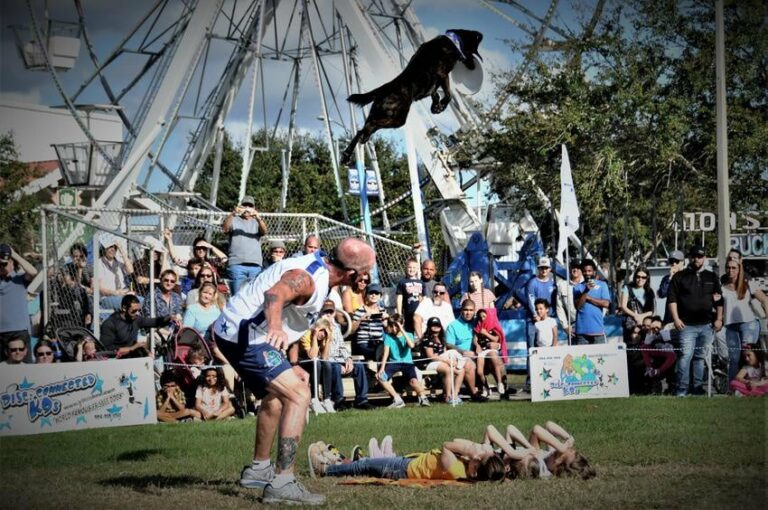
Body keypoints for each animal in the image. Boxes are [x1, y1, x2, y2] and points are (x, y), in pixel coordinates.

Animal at [340, 28, 484, 164]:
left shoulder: (434, 85)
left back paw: (347, 154)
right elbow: (448, 95)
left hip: (378, 114)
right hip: (397, 118)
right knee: (366, 128)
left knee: (363, 130)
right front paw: (441, 106)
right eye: (474, 50)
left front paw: (436, 107)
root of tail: (383, 88)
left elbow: (435, 95)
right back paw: (352, 149)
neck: (452, 42)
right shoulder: (443, 74)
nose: (473, 66)